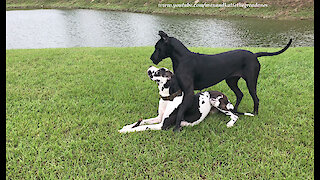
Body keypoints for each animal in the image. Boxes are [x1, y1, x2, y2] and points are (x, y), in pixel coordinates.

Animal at [119, 65, 254, 133]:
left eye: (161, 71)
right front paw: (128, 126)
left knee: (235, 115)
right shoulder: (159, 118)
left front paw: (126, 131)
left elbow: (142, 127)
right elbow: (142, 121)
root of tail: (224, 96)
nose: (150, 66)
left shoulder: (163, 125)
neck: (169, 99)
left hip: (217, 102)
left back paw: (230, 123)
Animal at [151, 31, 292, 131]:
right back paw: (235, 109)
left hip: (251, 82)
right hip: (231, 81)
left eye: (157, 48)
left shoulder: (189, 91)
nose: (151, 58)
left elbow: (180, 111)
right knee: (240, 94)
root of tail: (254, 54)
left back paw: (254, 114)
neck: (183, 59)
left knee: (255, 98)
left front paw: (176, 128)